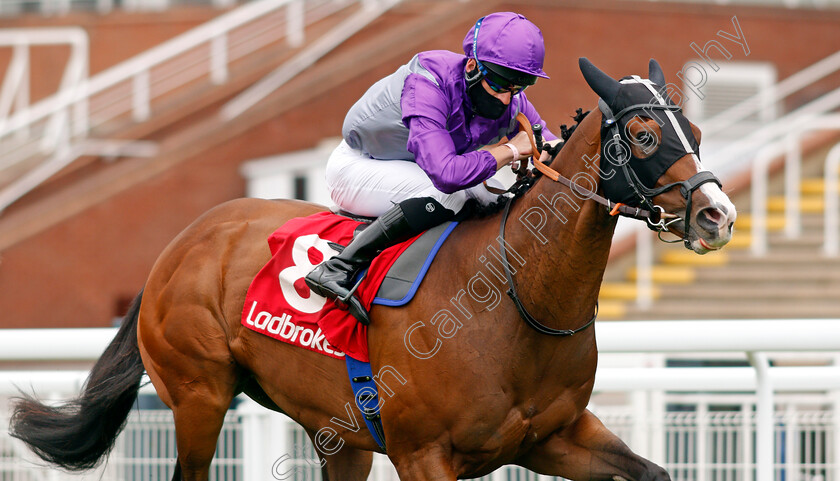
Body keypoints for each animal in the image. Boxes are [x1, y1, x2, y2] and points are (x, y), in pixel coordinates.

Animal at [11, 58, 736, 478]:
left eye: (698, 134)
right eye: (643, 135)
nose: (717, 215)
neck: (516, 297)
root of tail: (183, 242)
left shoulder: (553, 436)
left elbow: (654, 471)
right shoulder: (424, 454)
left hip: (337, 431)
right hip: (198, 394)